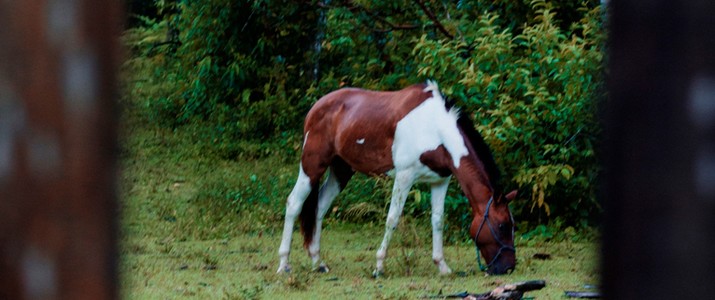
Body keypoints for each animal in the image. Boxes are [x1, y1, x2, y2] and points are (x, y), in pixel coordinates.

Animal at [276, 80, 516, 276]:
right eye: (502, 225)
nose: (508, 267)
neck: (436, 129)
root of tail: (316, 107)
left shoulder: (440, 181)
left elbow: (438, 221)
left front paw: (442, 265)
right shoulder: (404, 176)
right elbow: (392, 219)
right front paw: (379, 266)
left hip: (341, 171)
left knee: (319, 208)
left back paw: (318, 263)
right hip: (312, 166)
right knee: (294, 203)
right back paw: (284, 264)